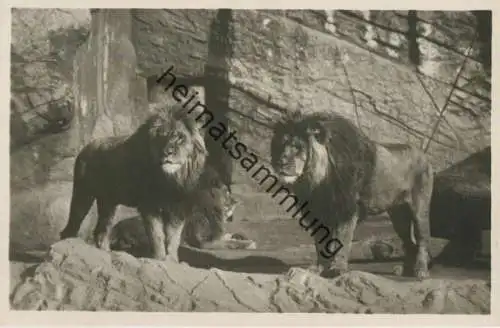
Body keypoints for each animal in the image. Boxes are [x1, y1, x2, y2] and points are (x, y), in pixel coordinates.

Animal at [270, 112, 434, 280]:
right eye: (280, 146)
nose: (280, 162)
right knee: (409, 243)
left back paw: (420, 271)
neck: (316, 181)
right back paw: (405, 270)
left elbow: (342, 240)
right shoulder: (318, 212)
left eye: (297, 147)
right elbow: (320, 244)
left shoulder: (347, 210)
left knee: (422, 240)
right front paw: (318, 268)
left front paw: (337, 269)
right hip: (398, 215)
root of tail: (423, 154)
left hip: (419, 208)